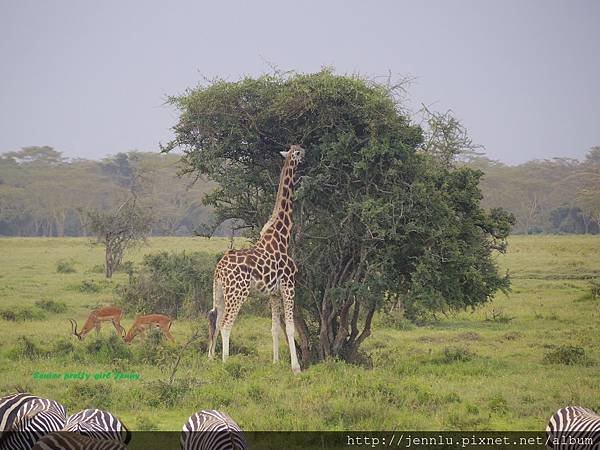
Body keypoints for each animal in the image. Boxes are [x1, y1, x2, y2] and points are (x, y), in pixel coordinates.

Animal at [209, 143, 308, 372]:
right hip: (237, 293)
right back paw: (226, 363)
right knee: (226, 324)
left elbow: (275, 328)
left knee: (215, 321)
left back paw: (209, 359)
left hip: (220, 292)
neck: (282, 236)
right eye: (299, 152)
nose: (306, 155)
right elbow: (290, 328)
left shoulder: (273, 293)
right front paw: (296, 368)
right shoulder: (289, 284)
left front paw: (275, 362)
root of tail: (219, 270)